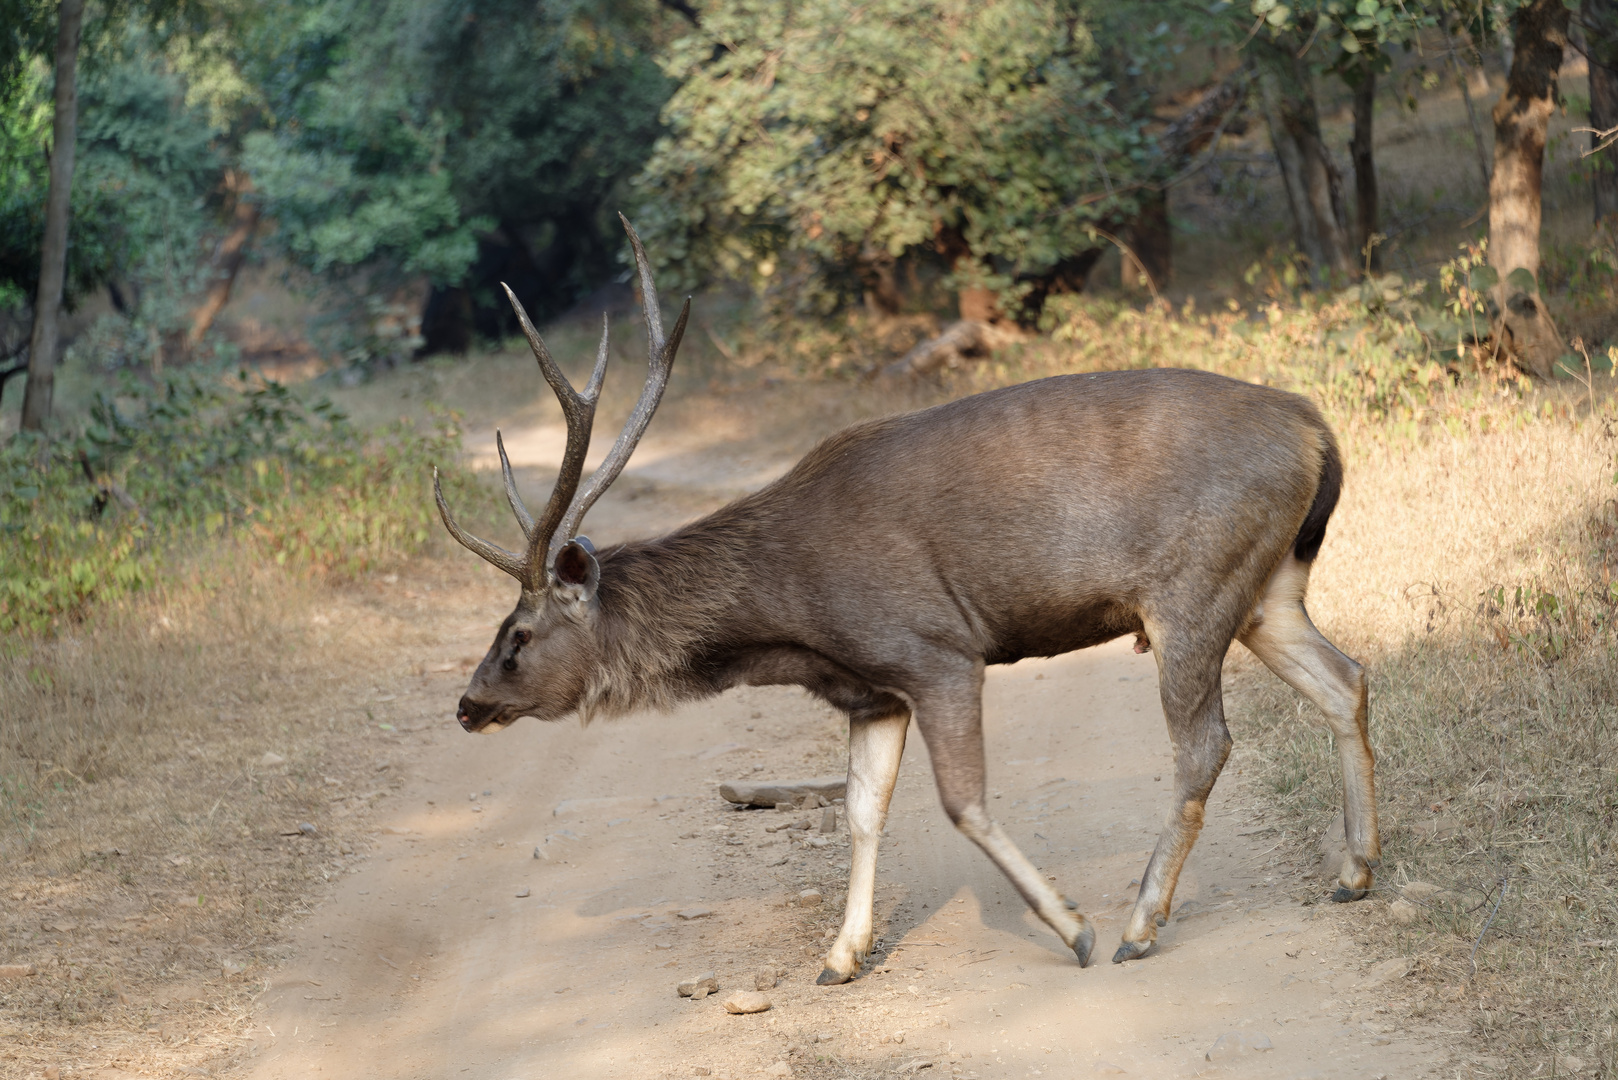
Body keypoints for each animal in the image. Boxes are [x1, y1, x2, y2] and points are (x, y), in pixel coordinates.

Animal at [433, 215, 1378, 984]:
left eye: (517, 635)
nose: (467, 705)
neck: (789, 619)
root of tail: (1317, 430)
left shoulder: (935, 651)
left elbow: (962, 802)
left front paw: (1072, 926)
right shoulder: (871, 688)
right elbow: (861, 811)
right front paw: (841, 956)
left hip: (1194, 587)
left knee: (1206, 743)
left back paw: (1141, 926)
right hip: (1266, 585)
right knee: (1347, 678)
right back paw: (1355, 871)